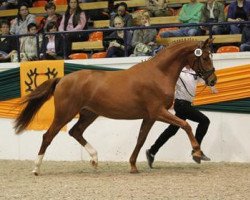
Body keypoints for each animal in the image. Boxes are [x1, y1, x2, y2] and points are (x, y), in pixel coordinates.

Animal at [14, 38, 216, 175]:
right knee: (48, 136)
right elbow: (185, 125)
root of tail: (62, 79)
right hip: (65, 113)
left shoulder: (149, 116)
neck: (159, 73)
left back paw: (95, 160)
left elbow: (141, 139)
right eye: (205, 57)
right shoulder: (158, 112)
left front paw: (133, 165)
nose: (213, 80)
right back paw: (36, 168)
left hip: (89, 114)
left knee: (75, 132)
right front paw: (197, 153)